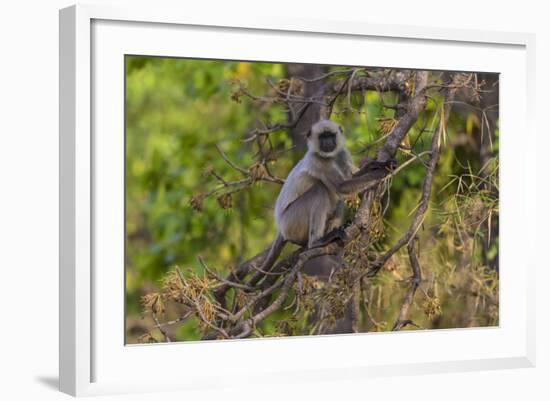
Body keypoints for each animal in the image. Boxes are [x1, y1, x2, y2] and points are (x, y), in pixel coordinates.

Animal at [260, 119, 396, 276]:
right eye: (322, 137)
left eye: (331, 136)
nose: (327, 142)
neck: (330, 156)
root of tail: (280, 226)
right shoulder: (318, 160)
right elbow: (342, 186)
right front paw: (379, 173)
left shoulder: (342, 154)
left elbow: (350, 178)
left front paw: (379, 164)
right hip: (291, 221)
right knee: (320, 190)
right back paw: (317, 241)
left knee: (336, 198)